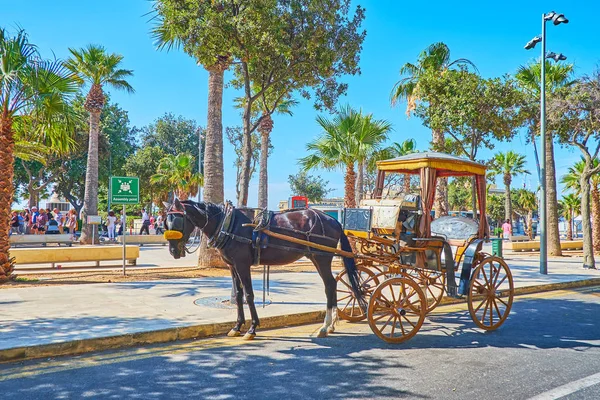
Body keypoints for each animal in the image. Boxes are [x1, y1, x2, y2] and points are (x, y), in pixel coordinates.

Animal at [163, 198, 366, 340]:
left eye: (178, 222)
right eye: (166, 223)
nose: (173, 251)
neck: (229, 224)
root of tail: (334, 220)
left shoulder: (242, 264)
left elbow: (249, 295)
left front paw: (252, 329)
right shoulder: (232, 266)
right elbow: (238, 295)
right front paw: (237, 327)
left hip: (322, 257)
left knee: (330, 285)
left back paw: (325, 326)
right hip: (316, 257)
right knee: (332, 285)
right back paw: (331, 325)